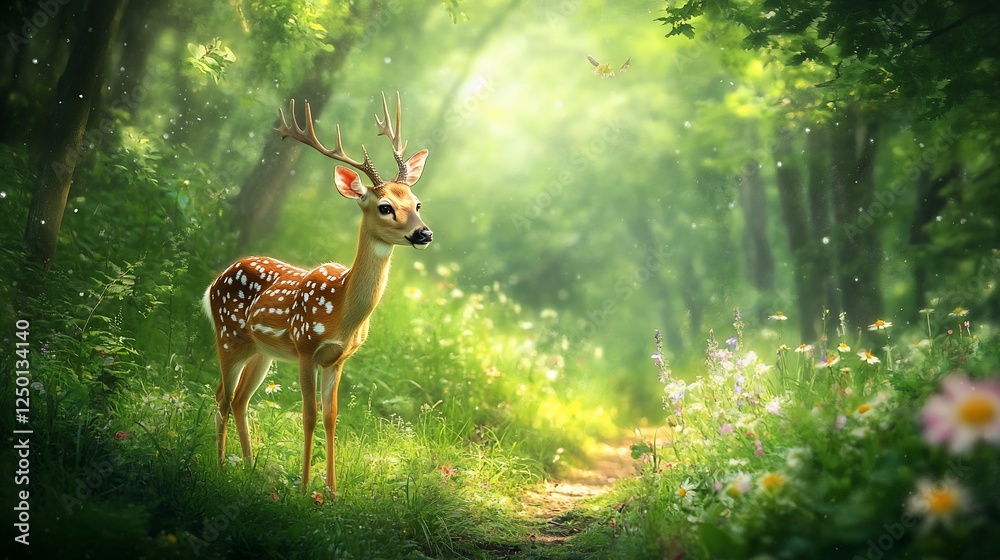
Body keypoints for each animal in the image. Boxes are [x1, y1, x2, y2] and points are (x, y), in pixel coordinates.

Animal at [203, 92, 432, 494]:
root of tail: (215, 281)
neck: (341, 311)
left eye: (417, 203)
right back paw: (219, 466)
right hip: (228, 336)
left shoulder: (338, 359)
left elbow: (330, 417)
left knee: (241, 399)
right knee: (223, 396)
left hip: (261, 350)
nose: (424, 233)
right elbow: (308, 415)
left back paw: (248, 466)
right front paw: (304, 488)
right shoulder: (306, 346)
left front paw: (332, 489)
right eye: (385, 207)